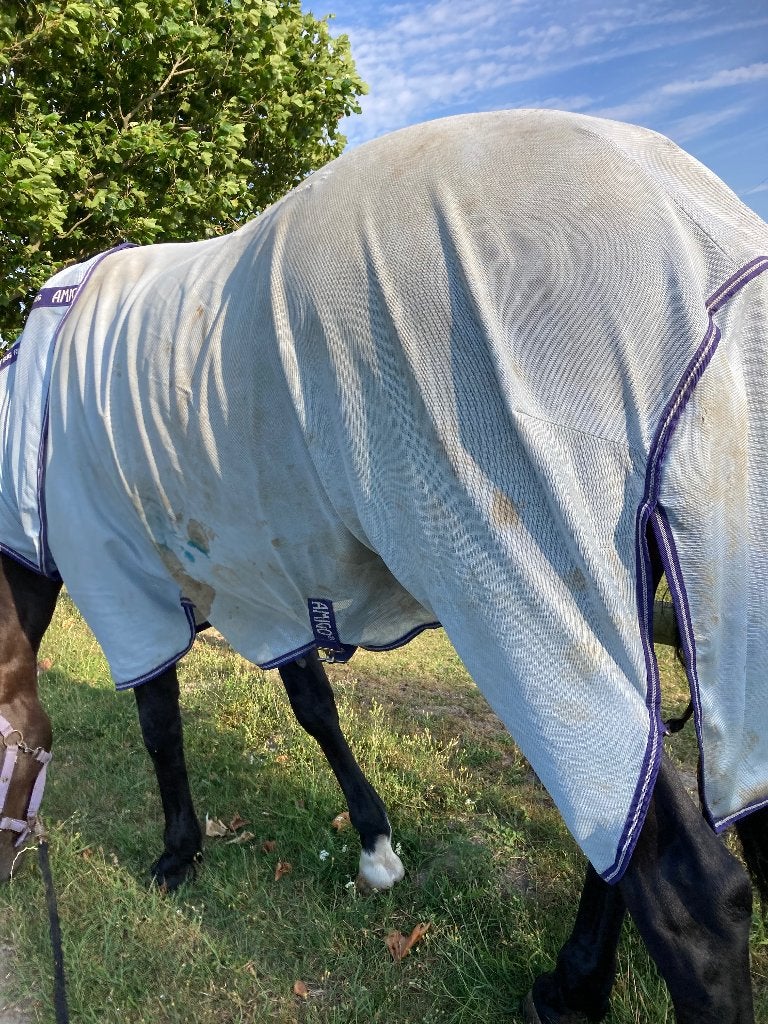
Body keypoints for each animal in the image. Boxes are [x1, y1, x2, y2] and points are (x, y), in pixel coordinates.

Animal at [1, 109, 767, 1023]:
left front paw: (177, 857)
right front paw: (375, 847)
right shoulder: (271, 576)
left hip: (538, 597)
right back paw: (572, 986)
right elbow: (312, 704)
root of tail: (688, 224)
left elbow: (160, 724)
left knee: (689, 889)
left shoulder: (123, 581)